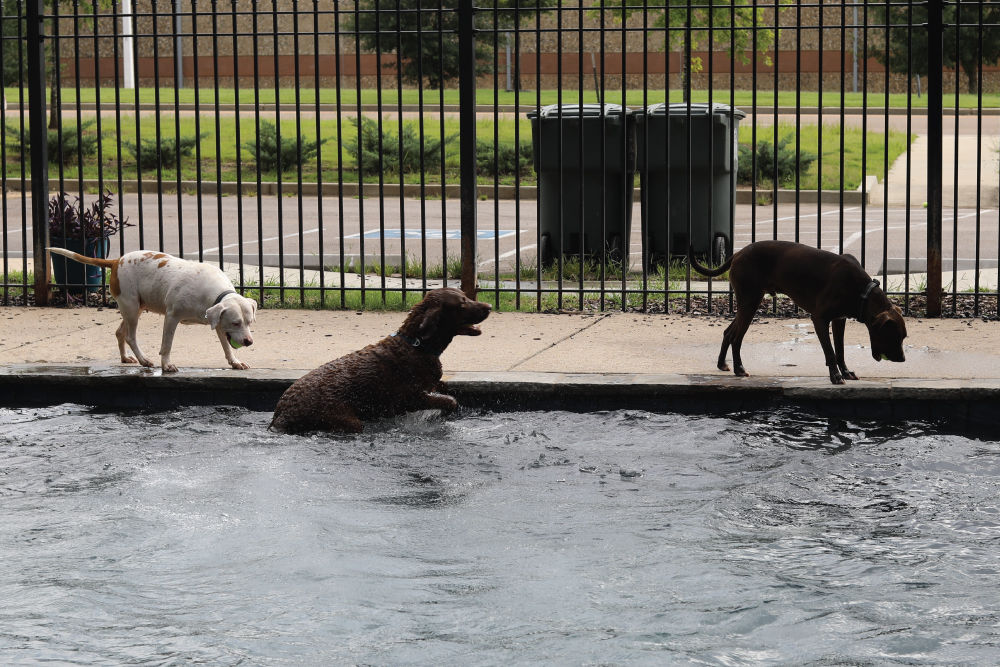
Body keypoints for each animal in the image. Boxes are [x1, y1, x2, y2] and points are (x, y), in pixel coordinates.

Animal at [47, 250, 258, 374]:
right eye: (236, 323)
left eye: (249, 322)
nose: (249, 341)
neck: (212, 293)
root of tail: (116, 261)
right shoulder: (172, 317)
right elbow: (167, 345)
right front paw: (167, 365)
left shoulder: (219, 322)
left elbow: (226, 346)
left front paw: (235, 362)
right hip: (131, 307)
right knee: (130, 336)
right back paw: (144, 360)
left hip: (135, 308)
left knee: (120, 332)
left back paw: (126, 358)